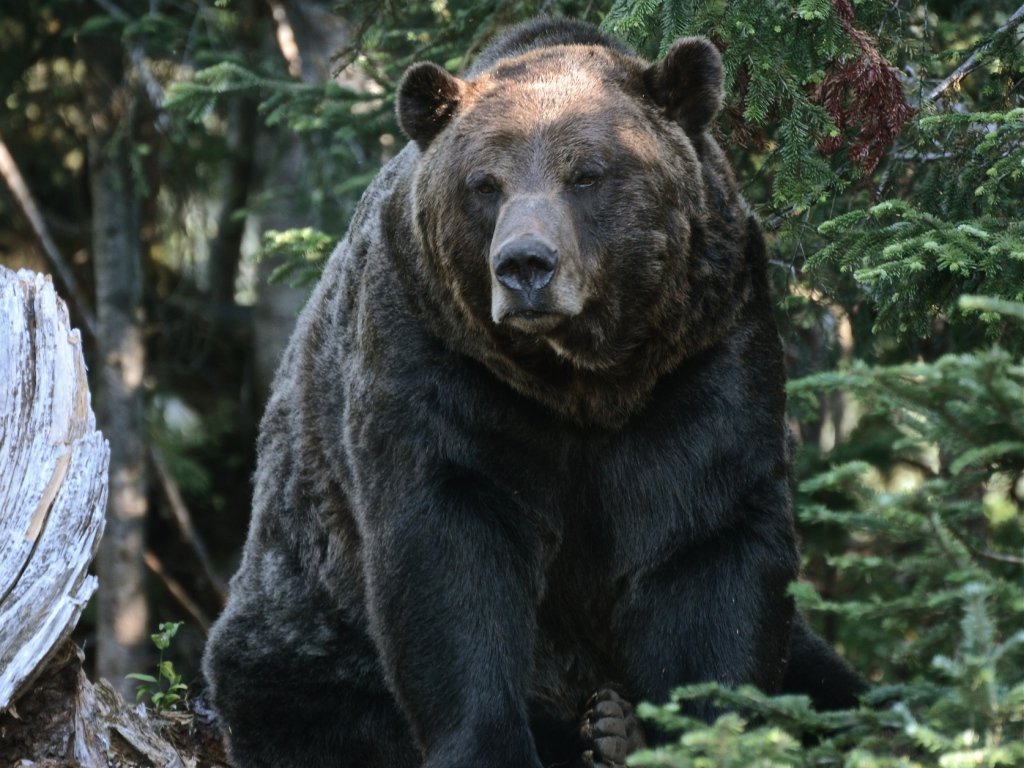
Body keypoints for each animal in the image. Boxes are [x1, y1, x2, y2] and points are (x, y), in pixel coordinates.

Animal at [202, 17, 865, 768]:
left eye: (588, 174)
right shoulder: (443, 363)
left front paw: (699, 732)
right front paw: (492, 741)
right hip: (307, 621)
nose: (524, 265)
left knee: (836, 685)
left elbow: (710, 546)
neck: (585, 379)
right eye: (484, 184)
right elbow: (448, 554)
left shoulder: (703, 358)